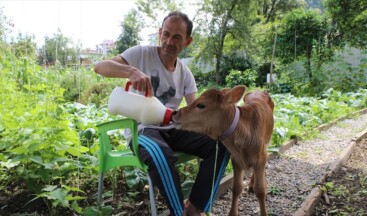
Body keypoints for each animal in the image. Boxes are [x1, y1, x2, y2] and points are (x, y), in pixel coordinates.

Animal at [174, 86, 274, 216]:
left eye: (201, 105)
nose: (175, 112)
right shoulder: (235, 158)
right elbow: (236, 188)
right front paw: (232, 212)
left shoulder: (260, 157)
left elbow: (261, 190)